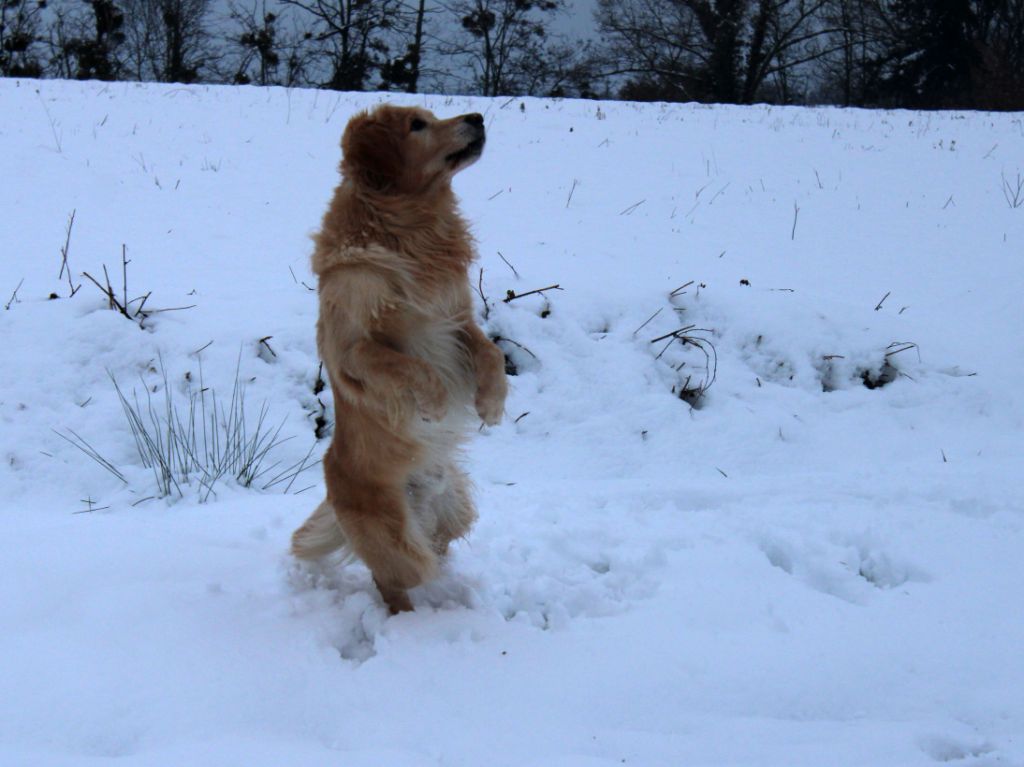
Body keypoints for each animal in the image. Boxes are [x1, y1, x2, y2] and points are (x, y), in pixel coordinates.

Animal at [290, 104, 505, 614]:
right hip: (396, 540)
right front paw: (434, 404)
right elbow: (408, 366)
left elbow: (492, 352)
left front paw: (491, 404)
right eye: (417, 126)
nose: (477, 115)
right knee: (395, 577)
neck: (411, 231)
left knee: (438, 546)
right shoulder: (352, 347)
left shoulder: (457, 320)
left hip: (453, 510)